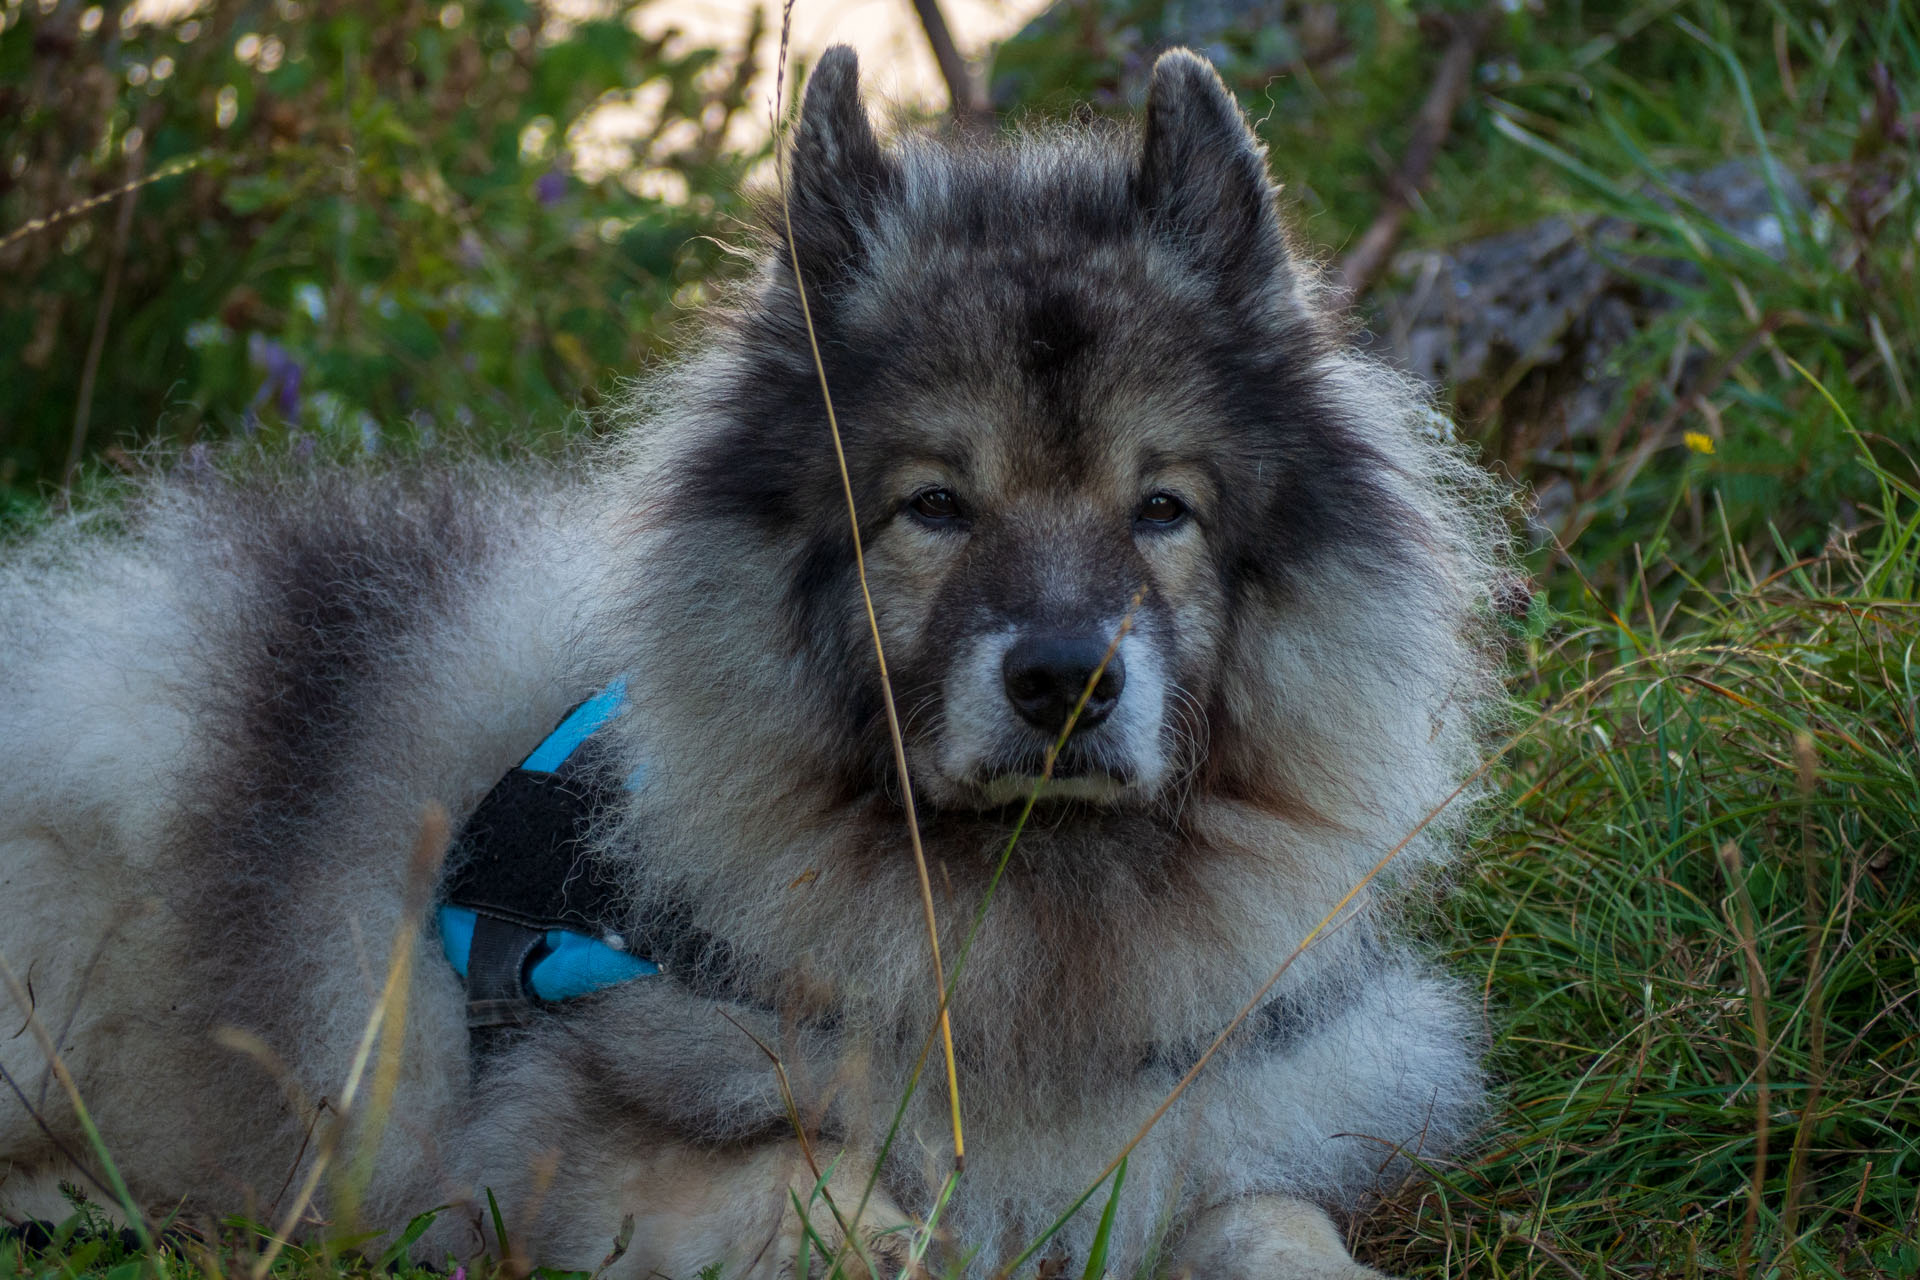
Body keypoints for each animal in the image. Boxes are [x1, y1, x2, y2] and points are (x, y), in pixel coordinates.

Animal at [0, 45, 1505, 1280]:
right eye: (934, 507)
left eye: (1162, 509)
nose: (1066, 676)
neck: (1022, 919)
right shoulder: (565, 1127)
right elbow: (809, 1181)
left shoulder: (1226, 1125)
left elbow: (1269, 1215)